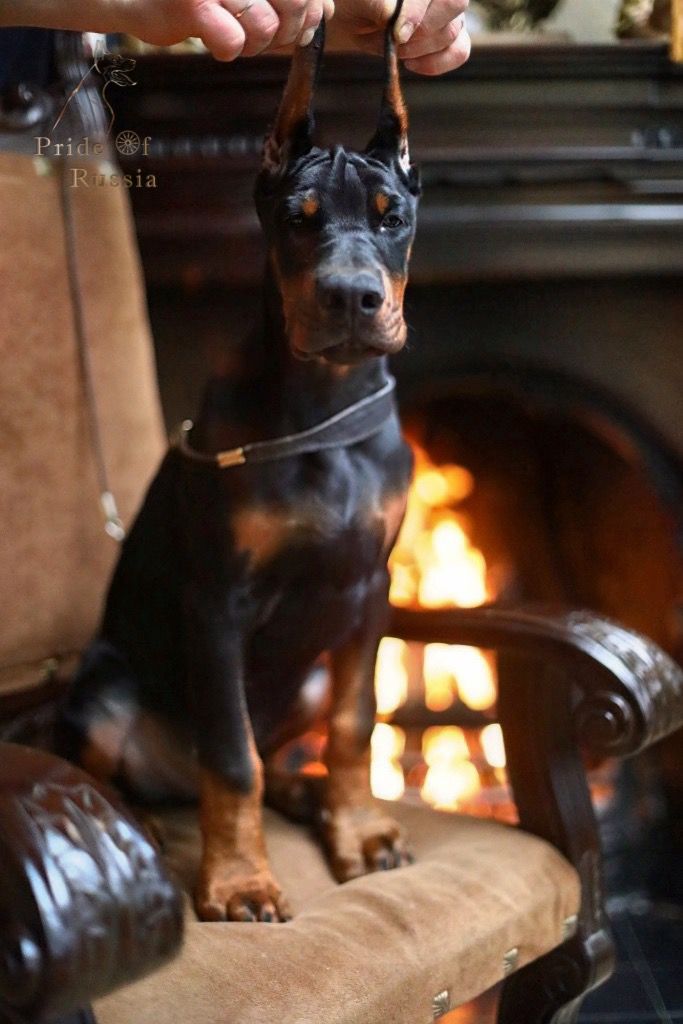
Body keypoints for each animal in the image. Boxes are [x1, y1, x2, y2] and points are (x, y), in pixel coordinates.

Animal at [57, 17, 421, 924]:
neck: (324, 410)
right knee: (137, 772)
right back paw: (153, 824)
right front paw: (238, 881)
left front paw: (359, 832)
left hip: (311, 675)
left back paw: (307, 798)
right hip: (106, 688)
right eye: (298, 218)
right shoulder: (217, 604)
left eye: (391, 216)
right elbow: (231, 756)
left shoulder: (370, 592)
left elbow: (356, 724)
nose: (352, 298)